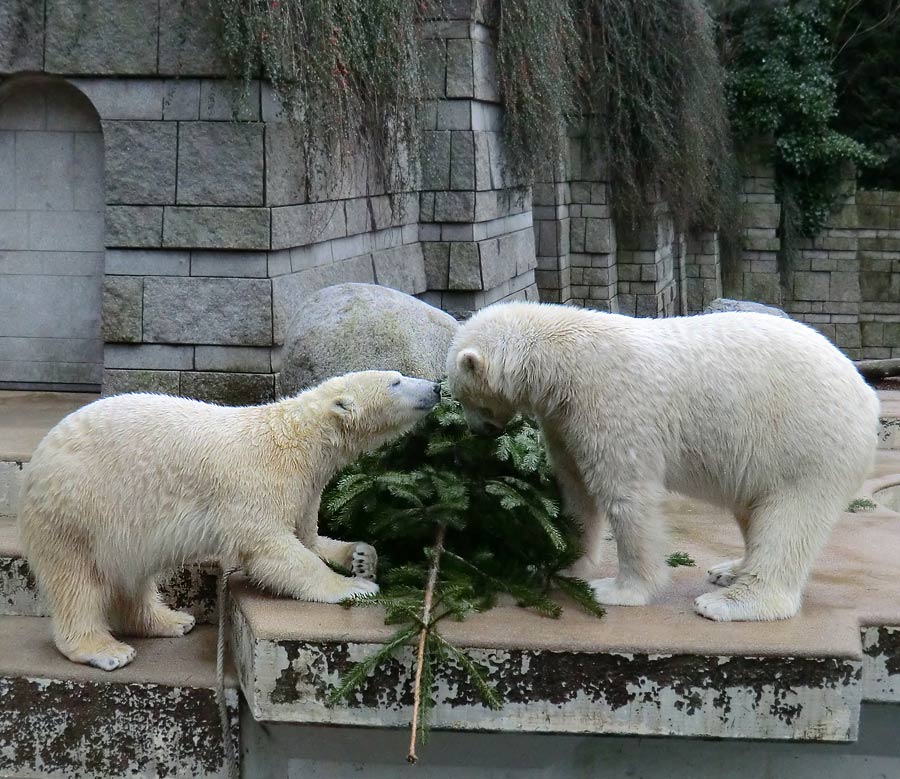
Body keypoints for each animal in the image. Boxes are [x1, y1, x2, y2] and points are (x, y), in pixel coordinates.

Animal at [19, 372, 442, 672]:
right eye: (396, 380)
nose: (437, 387)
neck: (298, 439)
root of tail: (38, 458)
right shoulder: (260, 481)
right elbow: (274, 550)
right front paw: (355, 586)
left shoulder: (306, 490)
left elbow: (308, 535)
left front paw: (361, 557)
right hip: (79, 507)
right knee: (76, 579)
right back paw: (105, 650)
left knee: (132, 575)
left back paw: (170, 620)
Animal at [448, 302, 880, 624]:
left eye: (464, 396)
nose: (476, 430)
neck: (561, 360)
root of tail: (868, 395)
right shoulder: (563, 421)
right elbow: (576, 492)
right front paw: (560, 565)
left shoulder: (610, 404)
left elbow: (626, 495)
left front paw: (618, 590)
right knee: (753, 511)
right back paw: (727, 570)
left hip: (805, 442)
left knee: (789, 520)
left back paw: (730, 602)